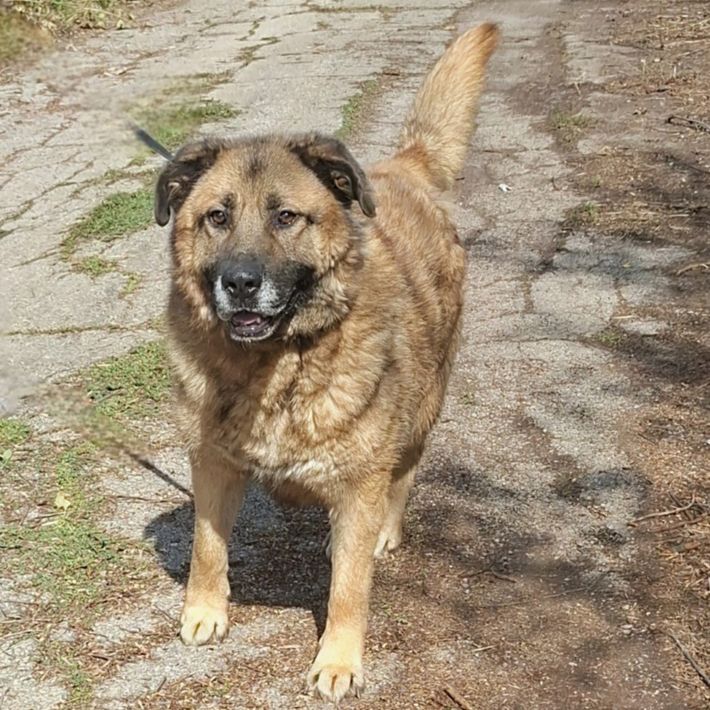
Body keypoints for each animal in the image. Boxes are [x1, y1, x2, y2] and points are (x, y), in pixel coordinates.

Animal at [152, 24, 498, 702]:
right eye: (217, 217)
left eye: (286, 217)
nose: (240, 283)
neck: (275, 367)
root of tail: (400, 168)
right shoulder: (211, 464)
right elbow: (207, 547)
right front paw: (204, 610)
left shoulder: (359, 486)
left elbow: (348, 590)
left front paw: (338, 659)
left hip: (421, 410)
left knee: (404, 474)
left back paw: (387, 530)